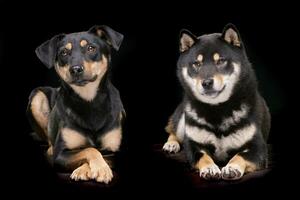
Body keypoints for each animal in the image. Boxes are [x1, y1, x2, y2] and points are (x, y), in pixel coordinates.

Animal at [25, 25, 124, 183]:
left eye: (91, 48)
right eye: (64, 52)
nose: (76, 69)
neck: (89, 101)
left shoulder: (116, 150)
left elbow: (100, 153)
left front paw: (90, 169)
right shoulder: (61, 154)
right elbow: (89, 149)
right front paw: (96, 169)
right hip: (36, 96)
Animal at [163, 24, 270, 180]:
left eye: (220, 61)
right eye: (197, 63)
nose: (207, 83)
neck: (217, 110)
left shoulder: (258, 147)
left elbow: (240, 156)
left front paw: (232, 167)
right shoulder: (194, 146)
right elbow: (202, 156)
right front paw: (210, 168)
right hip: (182, 119)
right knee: (174, 130)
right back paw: (171, 144)